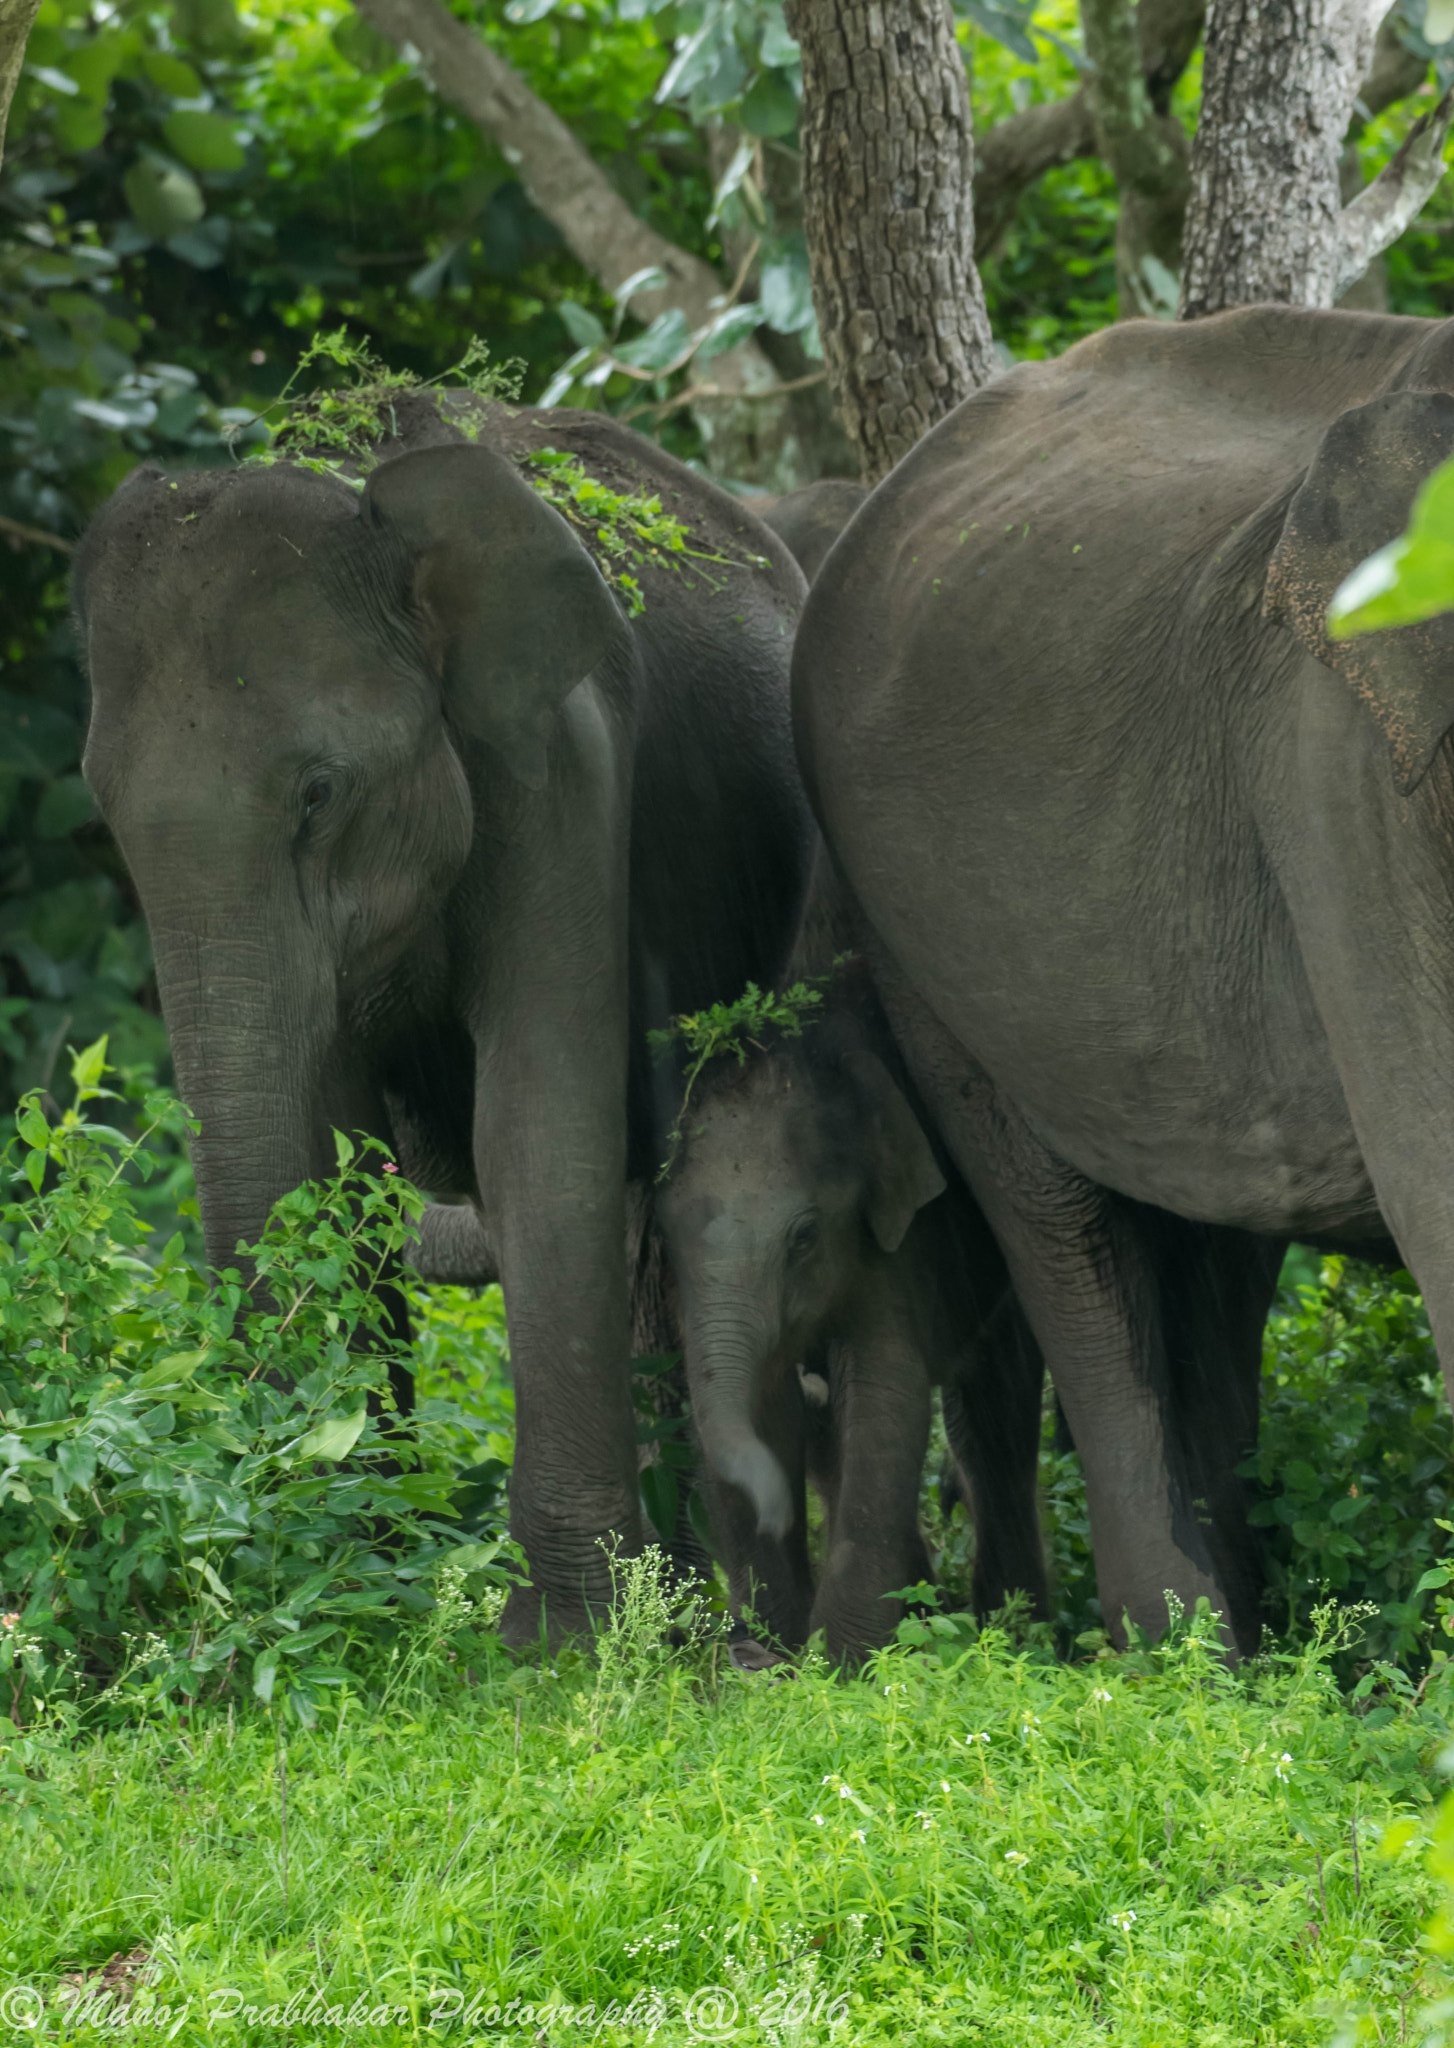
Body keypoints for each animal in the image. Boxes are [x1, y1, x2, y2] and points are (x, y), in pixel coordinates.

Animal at [74, 393, 815, 1645]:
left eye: (318, 794)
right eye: (102, 809)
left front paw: (565, 1638)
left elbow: (538, 1130)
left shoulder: (559, 761)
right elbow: (334, 1162)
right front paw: (354, 1583)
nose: (267, 1526)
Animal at [653, 960, 1048, 1663]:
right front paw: (772, 1650)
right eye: (664, 1235)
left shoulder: (899, 1241)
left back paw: (1013, 1626)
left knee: (995, 1409)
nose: (779, 1514)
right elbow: (758, 1409)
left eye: (805, 1235)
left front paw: (842, 1662)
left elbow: (884, 1397)